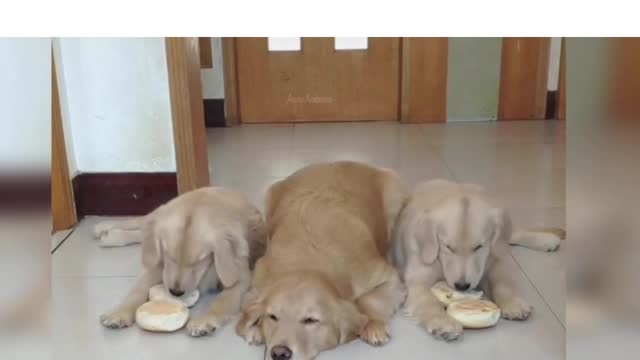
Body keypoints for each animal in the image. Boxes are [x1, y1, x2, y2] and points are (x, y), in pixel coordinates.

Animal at [95, 187, 264, 336]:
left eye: (199, 261)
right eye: (168, 255)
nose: (175, 292)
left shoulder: (240, 277)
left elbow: (221, 301)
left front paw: (204, 321)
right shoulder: (157, 264)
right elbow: (137, 291)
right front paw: (119, 313)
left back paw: (110, 236)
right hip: (157, 215)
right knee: (139, 223)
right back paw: (105, 229)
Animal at [238, 162, 408, 360]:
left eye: (310, 320)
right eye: (272, 317)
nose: (279, 353)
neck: (306, 265)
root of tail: (330, 163)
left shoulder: (387, 276)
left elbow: (367, 300)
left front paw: (374, 325)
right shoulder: (256, 285)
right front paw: (255, 329)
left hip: (393, 190)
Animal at [390, 179, 564, 342]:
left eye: (478, 247)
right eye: (448, 247)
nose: (462, 286)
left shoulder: (493, 263)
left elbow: (502, 284)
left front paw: (512, 302)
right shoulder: (417, 280)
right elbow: (429, 301)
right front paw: (443, 322)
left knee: (511, 235)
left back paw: (546, 239)